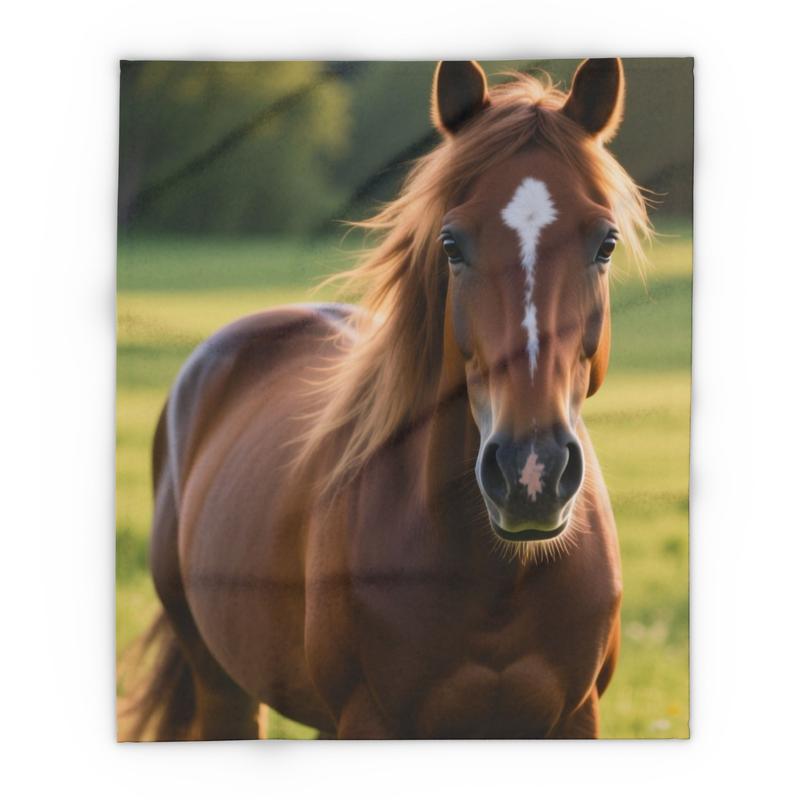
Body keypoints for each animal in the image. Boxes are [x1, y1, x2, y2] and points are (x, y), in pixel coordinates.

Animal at [122, 58, 650, 740]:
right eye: (451, 244)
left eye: (605, 243)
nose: (530, 473)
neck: (495, 579)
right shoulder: (369, 718)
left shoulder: (574, 719)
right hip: (224, 690)